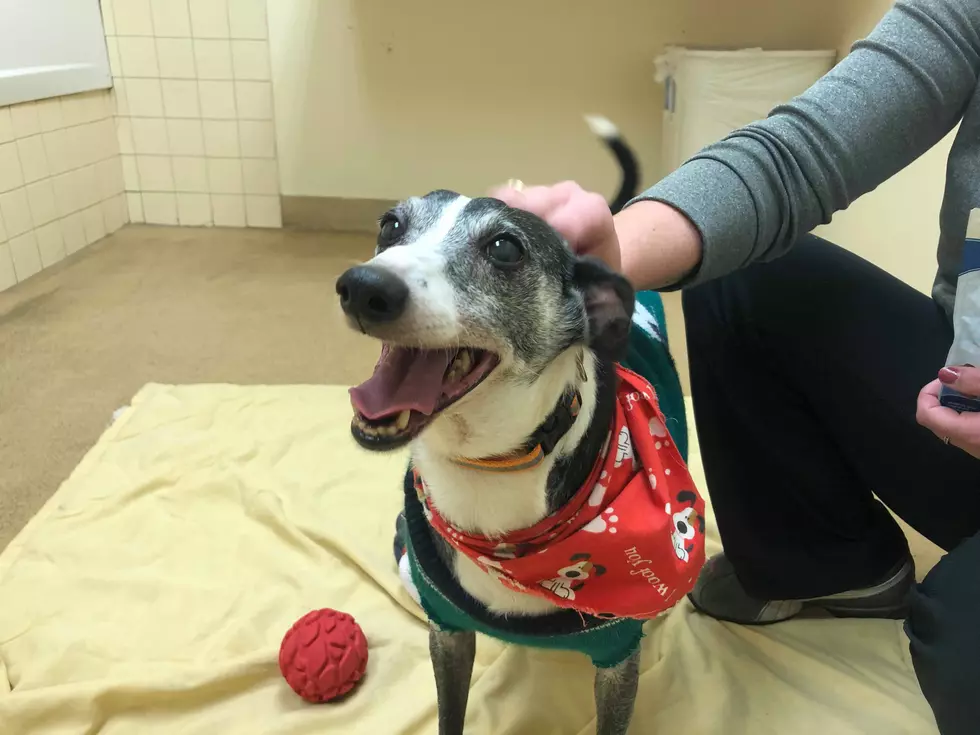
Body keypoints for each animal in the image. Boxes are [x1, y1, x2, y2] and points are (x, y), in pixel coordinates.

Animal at [336, 118, 704, 732]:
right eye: (391, 226)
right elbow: (450, 713)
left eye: (504, 247)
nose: (364, 286)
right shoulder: (448, 632)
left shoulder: (616, 658)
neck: (488, 469)